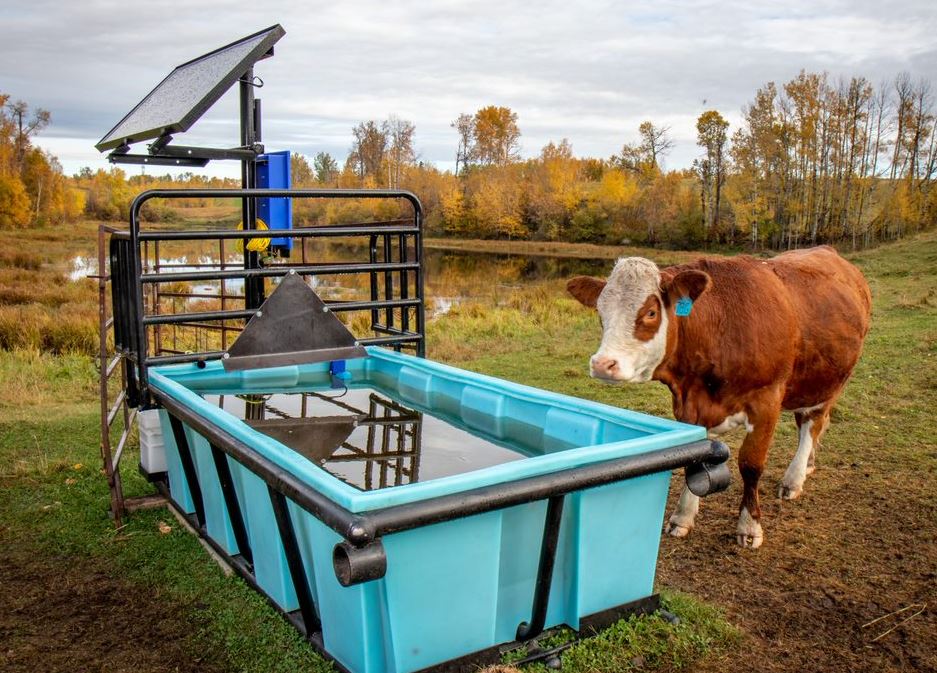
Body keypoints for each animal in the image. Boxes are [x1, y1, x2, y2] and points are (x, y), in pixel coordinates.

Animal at [568, 245, 872, 544]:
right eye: (600, 312)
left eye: (651, 312)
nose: (602, 364)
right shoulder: (689, 407)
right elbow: (692, 459)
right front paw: (682, 517)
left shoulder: (767, 401)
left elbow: (751, 465)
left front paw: (749, 526)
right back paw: (807, 465)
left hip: (831, 382)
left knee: (812, 423)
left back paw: (793, 478)